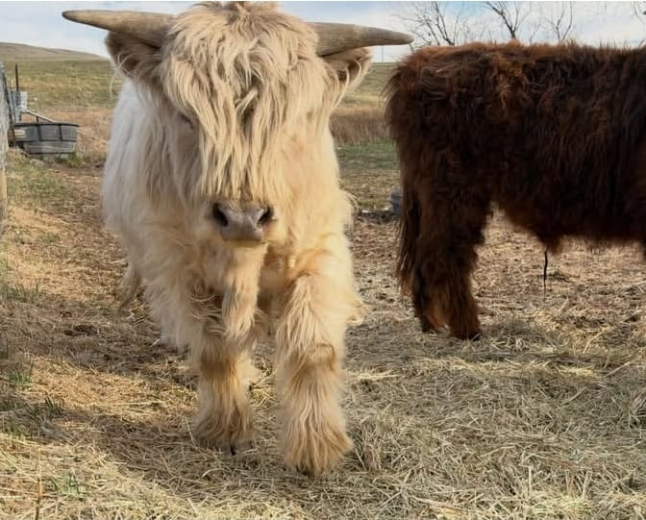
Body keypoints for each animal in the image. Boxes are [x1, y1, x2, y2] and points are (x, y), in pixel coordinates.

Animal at [63, 2, 411, 475]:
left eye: (294, 118)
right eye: (187, 116)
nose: (243, 217)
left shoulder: (318, 250)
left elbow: (313, 347)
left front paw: (317, 445)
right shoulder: (181, 268)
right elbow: (215, 349)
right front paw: (225, 428)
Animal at [386, 41, 646, 341]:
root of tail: (418, 60)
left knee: (423, 257)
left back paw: (431, 323)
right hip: (453, 192)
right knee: (444, 256)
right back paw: (468, 329)